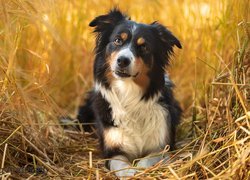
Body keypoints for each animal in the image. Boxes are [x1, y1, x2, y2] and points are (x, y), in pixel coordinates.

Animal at [76, 8, 182, 177]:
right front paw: (129, 173)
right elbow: (120, 164)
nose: (122, 60)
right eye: (118, 40)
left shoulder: (162, 147)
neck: (129, 92)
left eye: (144, 47)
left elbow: (147, 160)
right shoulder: (112, 150)